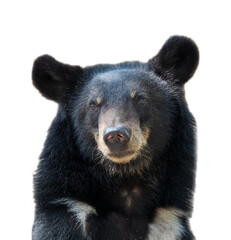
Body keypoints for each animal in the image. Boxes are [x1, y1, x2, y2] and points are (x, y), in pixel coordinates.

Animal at [32, 36, 199, 240]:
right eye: (93, 105)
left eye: (141, 99)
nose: (115, 135)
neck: (124, 178)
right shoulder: (65, 208)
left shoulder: (170, 223)